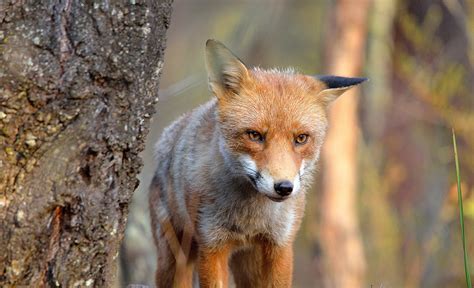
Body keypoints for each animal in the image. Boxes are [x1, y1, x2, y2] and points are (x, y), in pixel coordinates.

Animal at [149, 38, 366, 288]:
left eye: (301, 138)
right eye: (254, 135)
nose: (284, 188)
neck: (251, 219)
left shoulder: (280, 245)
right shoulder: (212, 245)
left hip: (248, 265)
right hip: (175, 259)